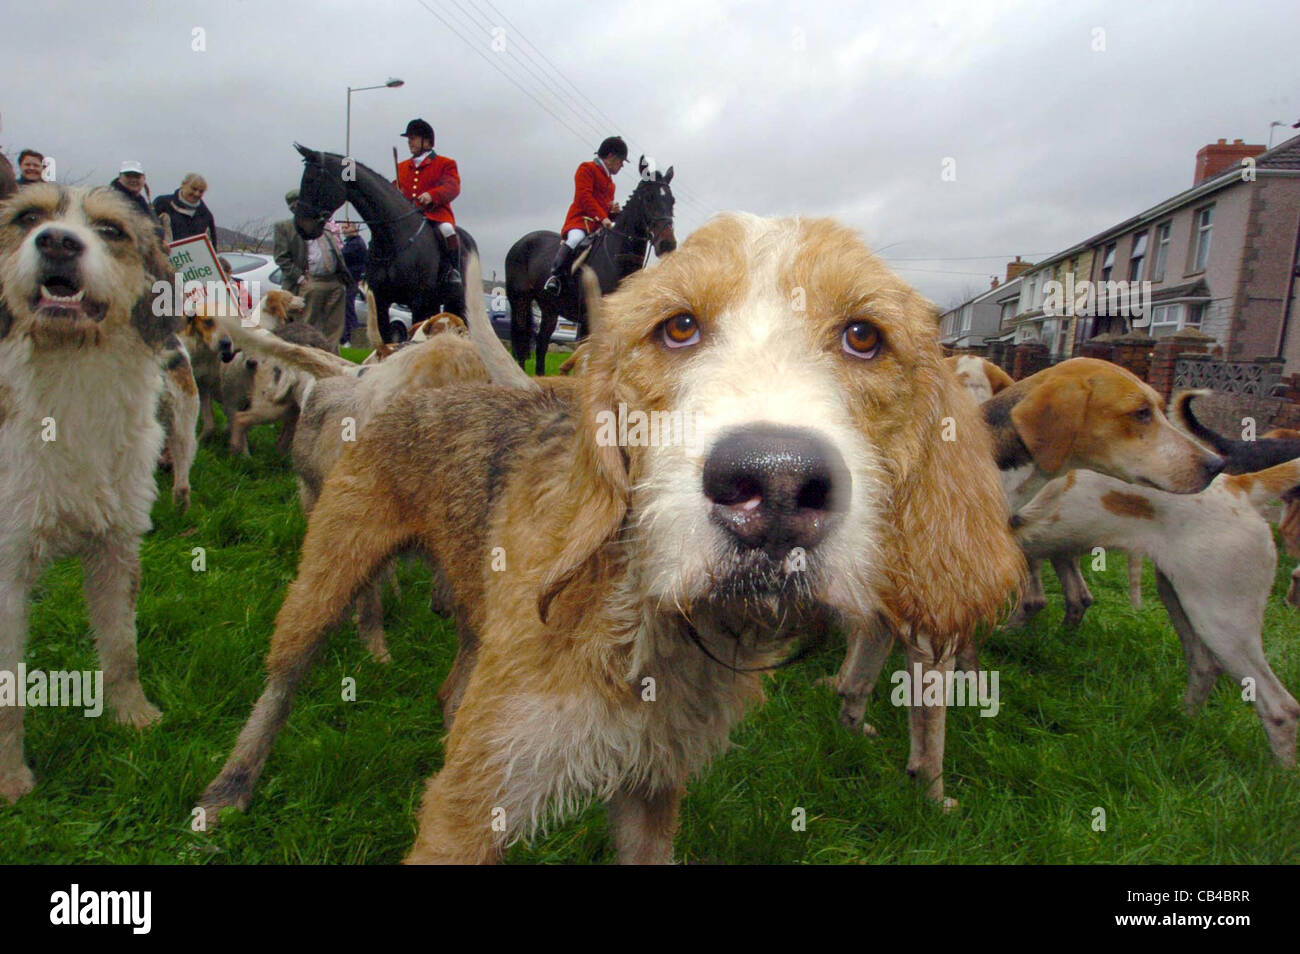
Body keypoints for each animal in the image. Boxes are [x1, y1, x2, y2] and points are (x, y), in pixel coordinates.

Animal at [293, 142, 478, 343]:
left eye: (312, 181)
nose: (301, 227)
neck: (392, 239)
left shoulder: (418, 301)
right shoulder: (381, 300)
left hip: (458, 301)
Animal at [501, 157, 676, 374]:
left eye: (672, 201)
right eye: (649, 198)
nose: (667, 244)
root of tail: (521, 242)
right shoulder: (587, 320)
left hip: (549, 308)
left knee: (542, 343)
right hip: (520, 301)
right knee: (521, 340)